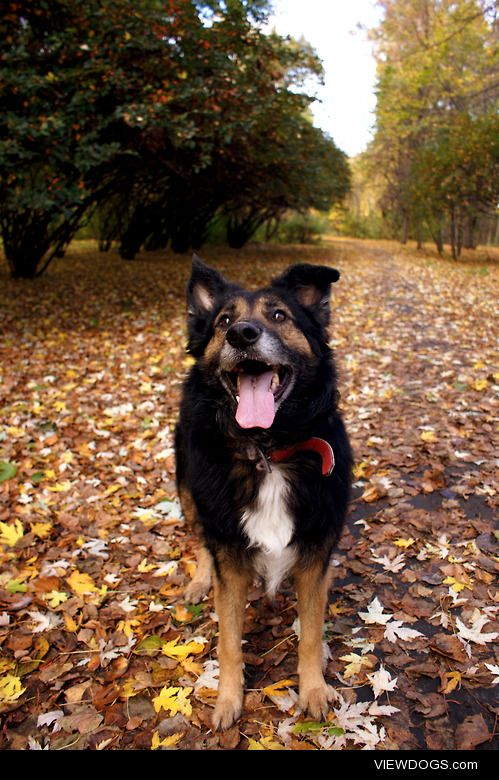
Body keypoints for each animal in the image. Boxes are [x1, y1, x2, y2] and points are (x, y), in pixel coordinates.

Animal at [176, 256, 352, 732]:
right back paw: (199, 579)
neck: (267, 449)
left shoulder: (314, 556)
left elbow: (310, 634)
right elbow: (228, 641)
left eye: (279, 315)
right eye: (223, 321)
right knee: (201, 541)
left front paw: (313, 691)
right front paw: (227, 700)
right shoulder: (231, 560)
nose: (242, 334)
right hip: (188, 492)